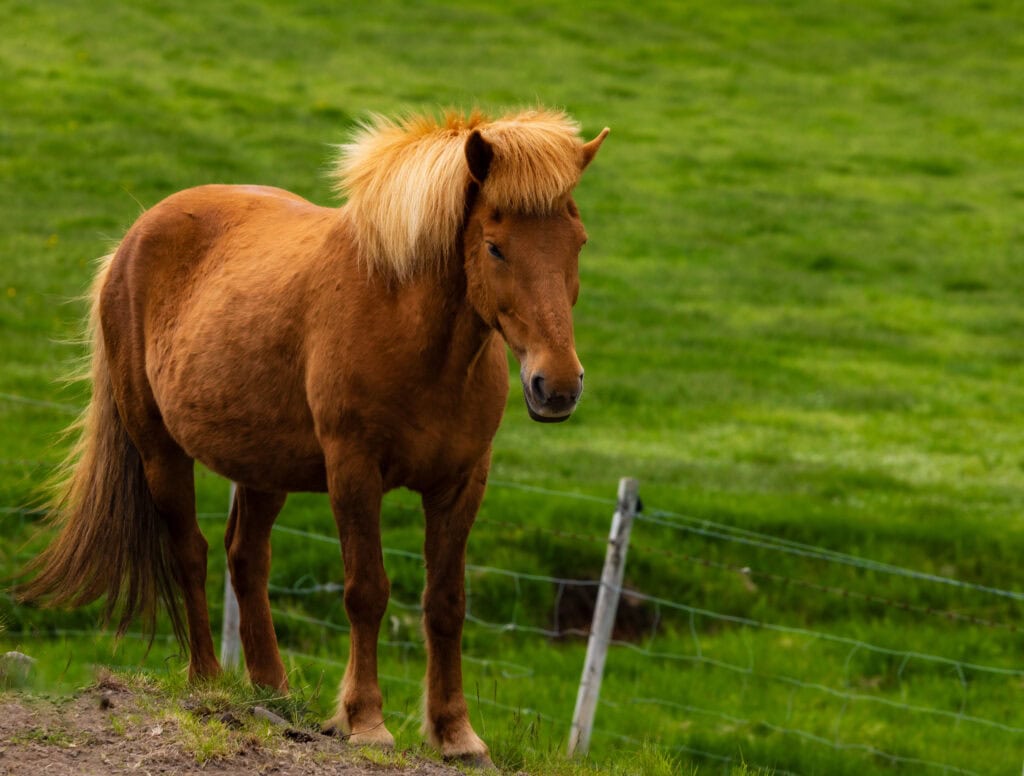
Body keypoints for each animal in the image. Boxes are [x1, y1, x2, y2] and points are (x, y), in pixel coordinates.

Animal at [18, 108, 608, 766]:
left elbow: (446, 603)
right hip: (158, 451)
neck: (410, 330)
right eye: (495, 247)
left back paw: (272, 688)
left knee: (246, 558)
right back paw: (208, 678)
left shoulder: (461, 482)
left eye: (578, 243)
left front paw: (456, 734)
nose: (557, 385)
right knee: (191, 551)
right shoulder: (353, 471)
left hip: (261, 467)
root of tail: (132, 241)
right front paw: (365, 720)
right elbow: (366, 591)